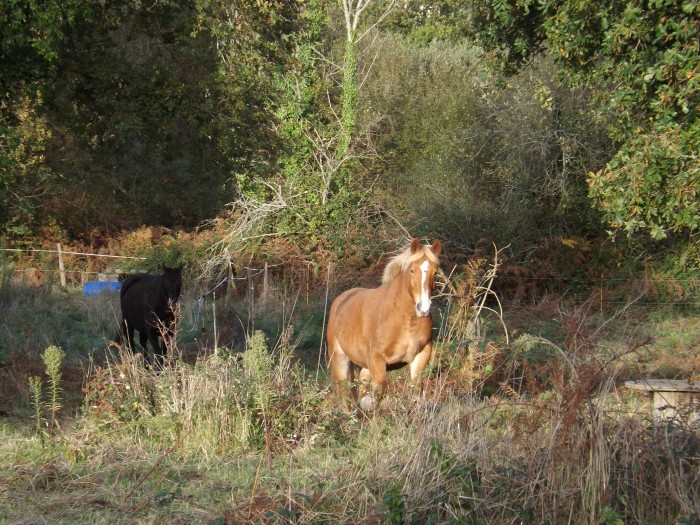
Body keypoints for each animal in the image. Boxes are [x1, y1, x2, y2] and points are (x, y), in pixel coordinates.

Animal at [328, 237, 442, 410]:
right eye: (412, 271)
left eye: (435, 273)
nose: (423, 308)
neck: (406, 321)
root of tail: (342, 299)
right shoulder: (377, 360)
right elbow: (379, 392)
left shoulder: (421, 355)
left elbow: (416, 391)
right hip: (339, 359)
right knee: (345, 394)